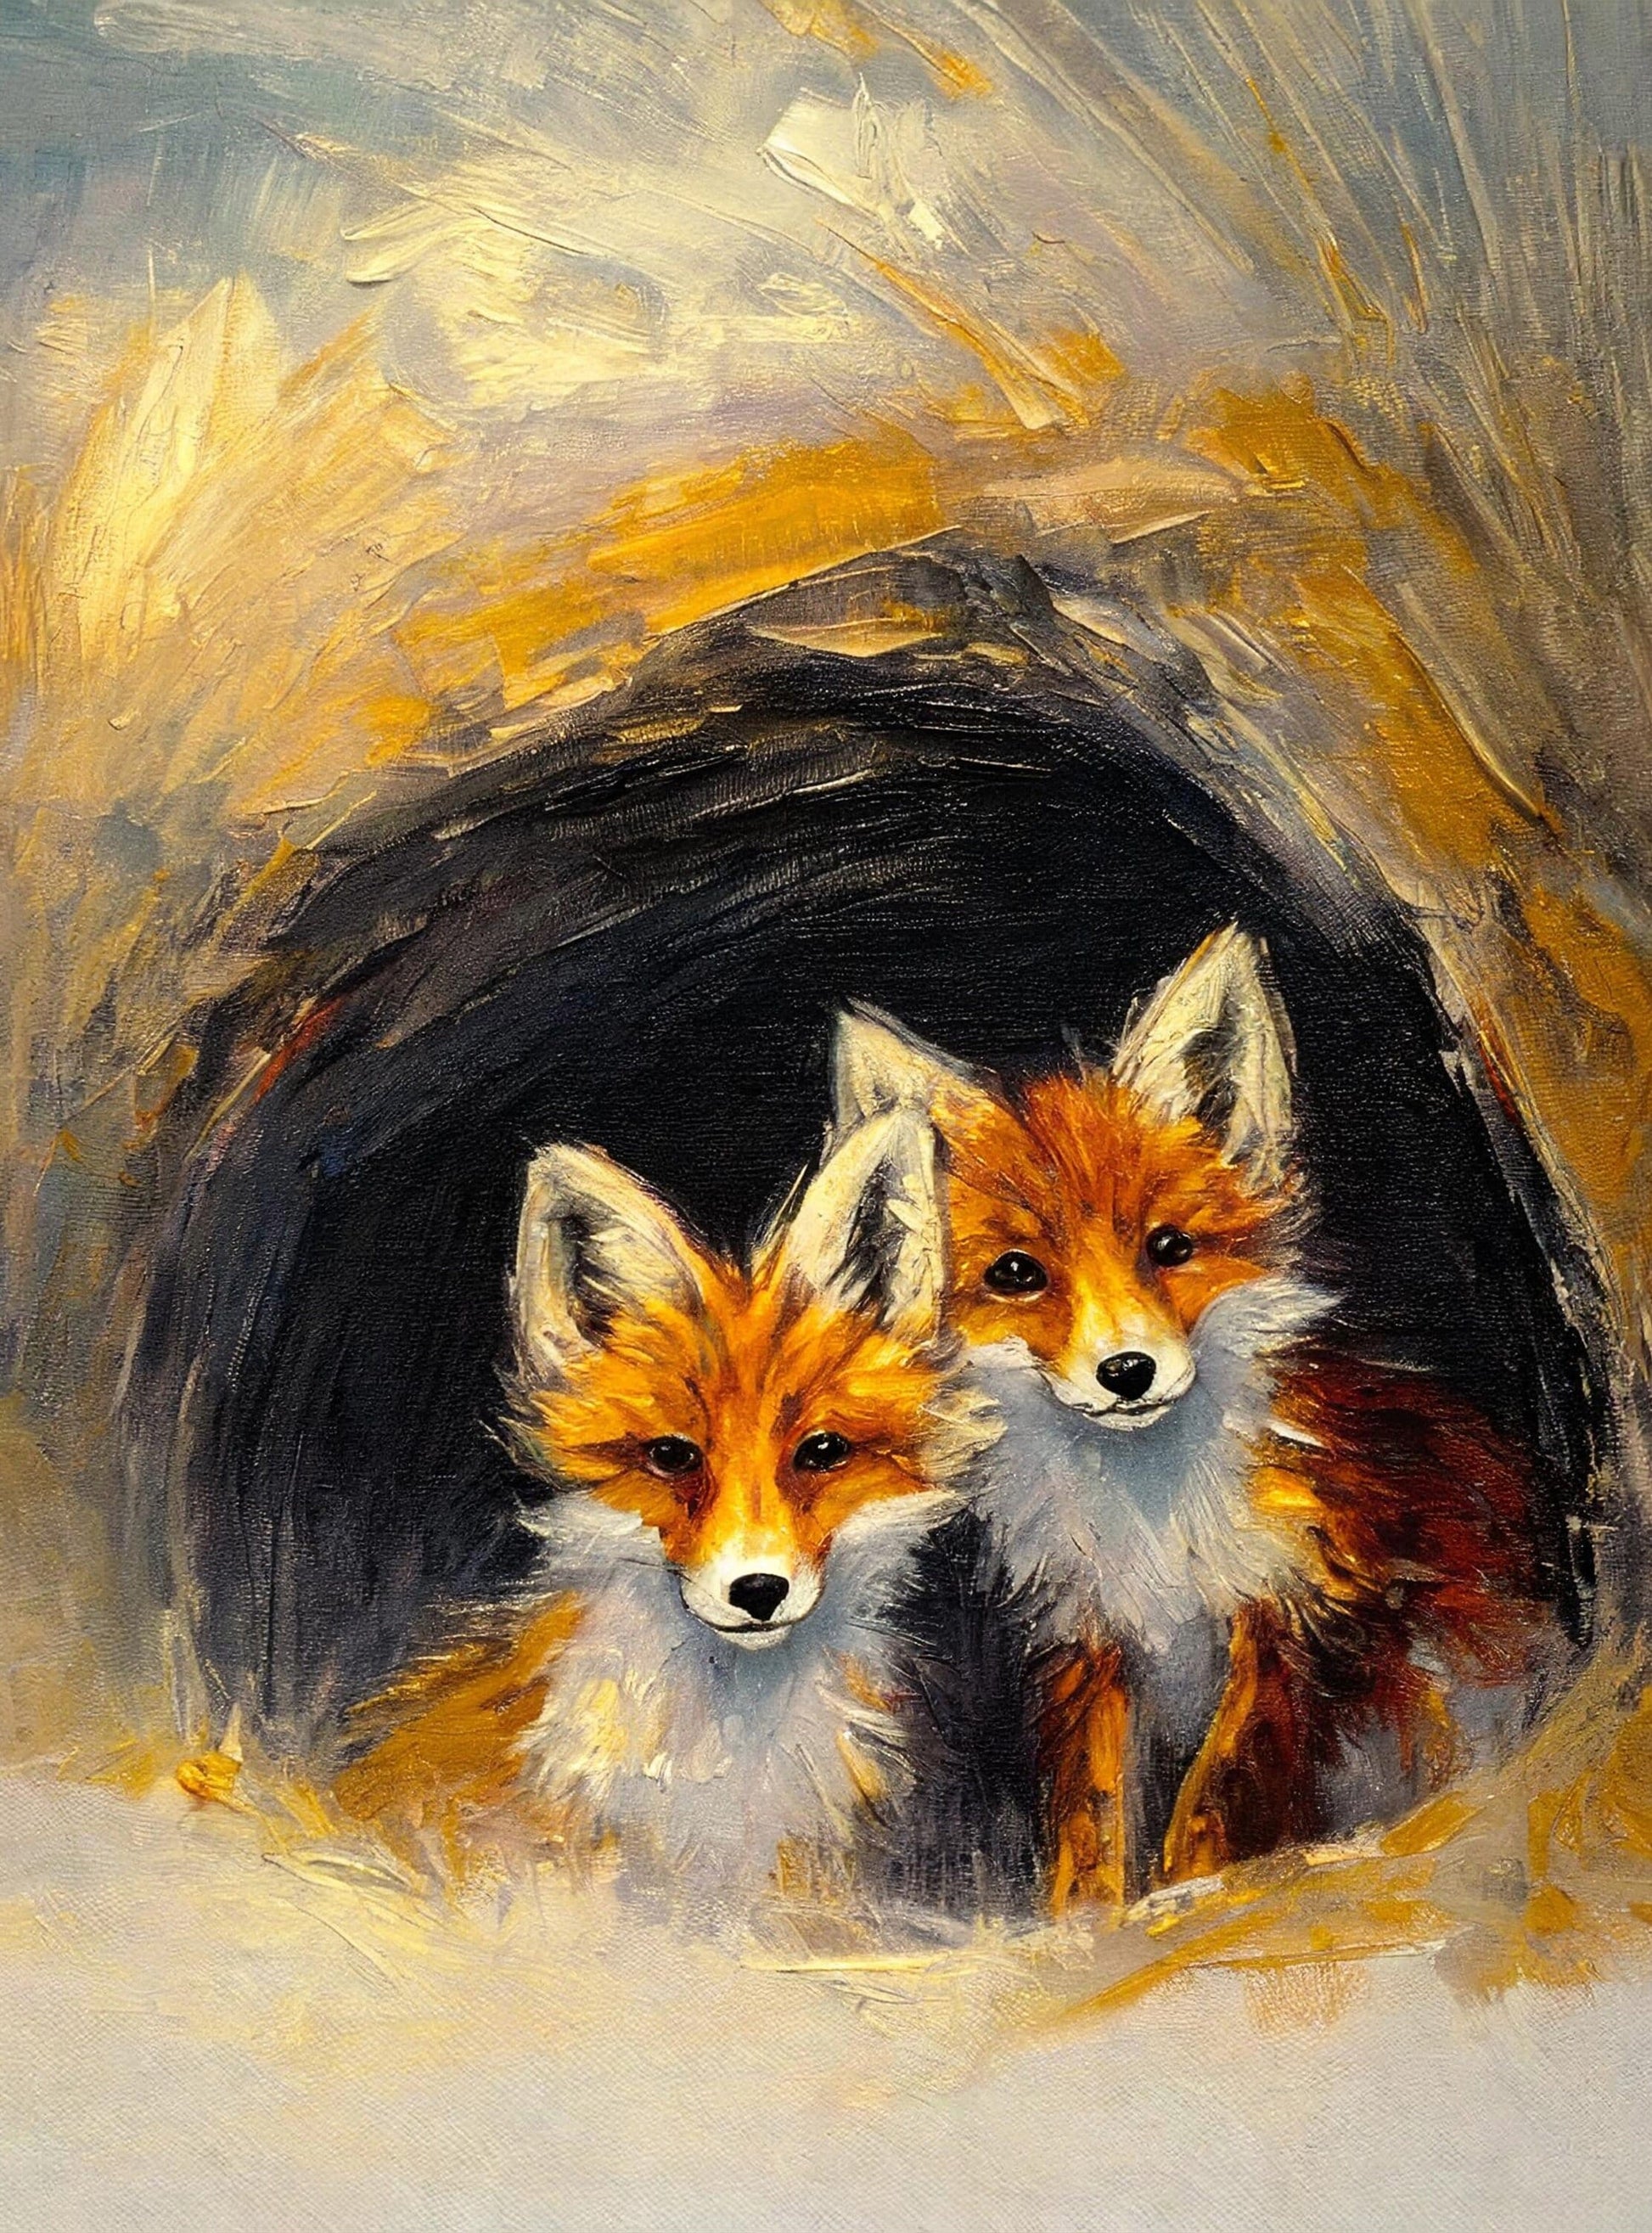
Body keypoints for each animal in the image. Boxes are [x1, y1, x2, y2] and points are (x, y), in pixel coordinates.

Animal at [833, 928, 1566, 1912]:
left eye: (1169, 1246)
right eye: (1017, 1273)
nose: (1127, 1372)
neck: (1155, 1521)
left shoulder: (1293, 1616)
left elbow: (1217, 1796)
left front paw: (1193, 1895)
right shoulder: (1094, 1640)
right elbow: (1094, 1814)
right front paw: (1087, 1920)